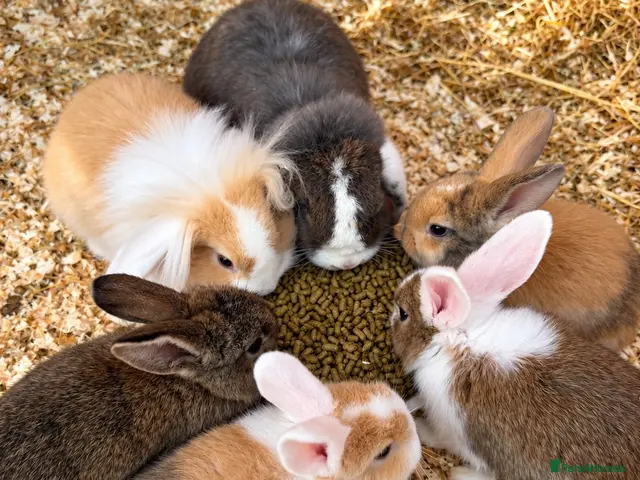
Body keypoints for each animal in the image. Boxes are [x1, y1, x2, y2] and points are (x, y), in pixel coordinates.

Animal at [391, 210, 640, 480]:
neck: (463, 342)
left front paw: (421, 429)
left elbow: (440, 438)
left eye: (403, 314)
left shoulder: (452, 430)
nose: (391, 316)